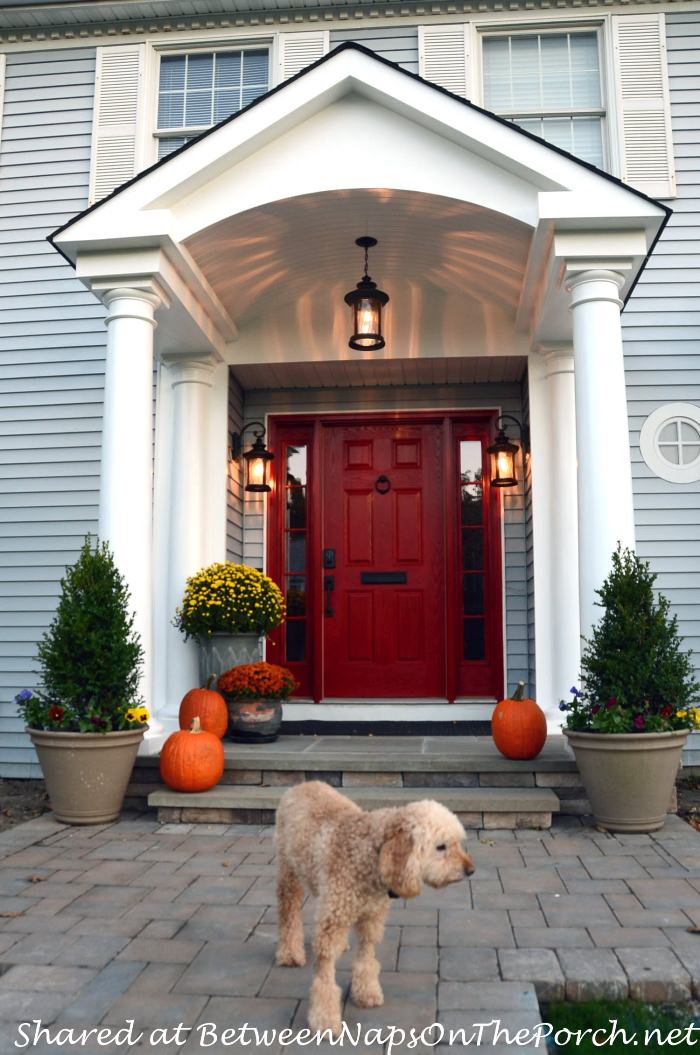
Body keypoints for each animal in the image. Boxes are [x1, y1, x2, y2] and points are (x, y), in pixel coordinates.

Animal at [276, 784, 472, 1038]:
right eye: (441, 847)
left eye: (458, 842)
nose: (471, 869)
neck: (367, 853)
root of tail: (303, 784)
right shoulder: (333, 919)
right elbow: (325, 978)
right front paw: (325, 1019)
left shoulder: (371, 917)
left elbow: (367, 957)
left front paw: (366, 992)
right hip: (288, 872)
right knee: (288, 912)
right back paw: (290, 953)